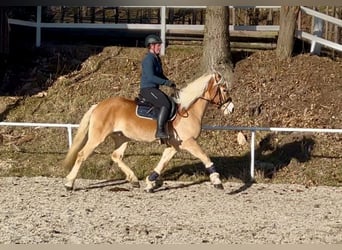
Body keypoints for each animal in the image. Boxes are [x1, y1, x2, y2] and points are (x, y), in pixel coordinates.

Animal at [62, 71, 232, 192]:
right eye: (224, 89)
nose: (231, 108)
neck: (188, 111)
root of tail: (98, 105)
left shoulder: (174, 146)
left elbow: (162, 163)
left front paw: (150, 182)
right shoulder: (189, 142)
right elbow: (205, 157)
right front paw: (217, 181)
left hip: (122, 138)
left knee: (116, 156)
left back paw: (133, 179)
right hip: (97, 137)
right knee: (82, 155)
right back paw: (69, 183)